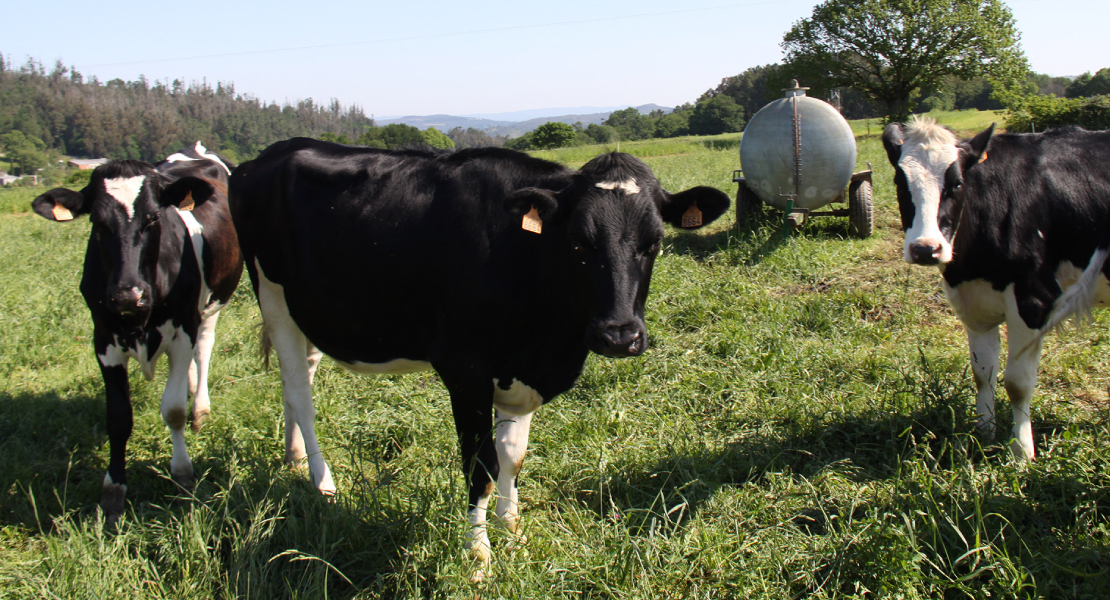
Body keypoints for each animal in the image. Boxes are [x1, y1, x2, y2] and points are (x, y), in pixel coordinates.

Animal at [31, 141, 243, 519]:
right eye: (97, 222)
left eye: (154, 218)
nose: (128, 294)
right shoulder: (103, 341)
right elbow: (118, 419)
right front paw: (113, 490)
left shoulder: (182, 331)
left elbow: (173, 409)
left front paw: (182, 472)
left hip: (210, 306)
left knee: (203, 350)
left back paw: (200, 408)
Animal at [883, 119, 1110, 461]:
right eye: (900, 181)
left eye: (957, 183)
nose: (925, 249)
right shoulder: (974, 304)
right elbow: (983, 374)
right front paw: (983, 433)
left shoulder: (1033, 299)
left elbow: (1017, 383)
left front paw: (1021, 452)